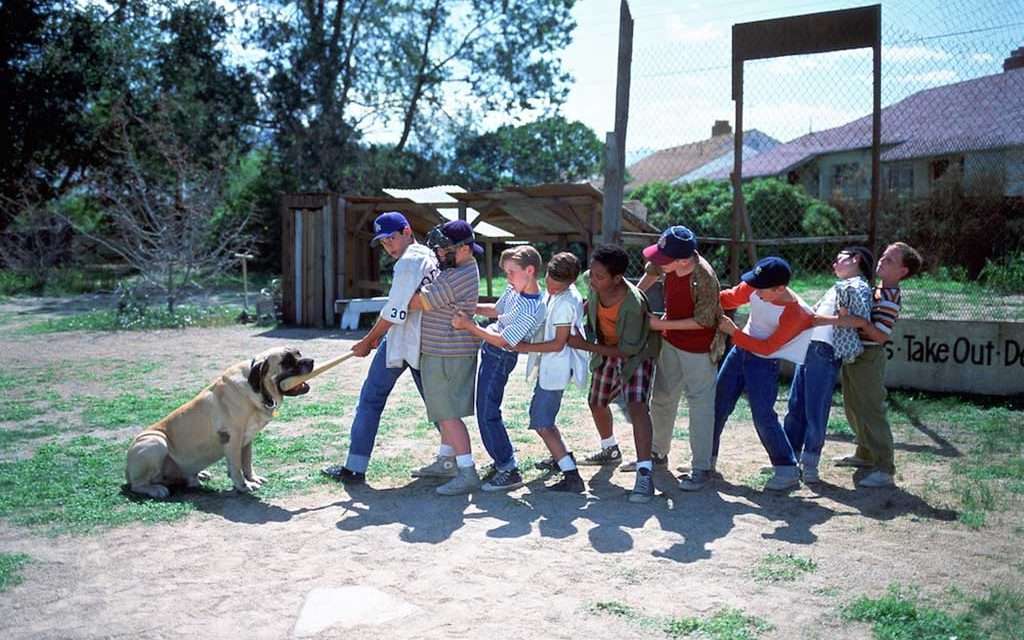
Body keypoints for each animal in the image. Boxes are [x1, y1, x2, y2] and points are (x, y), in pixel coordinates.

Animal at [122, 346, 311, 497]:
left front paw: (253, 478)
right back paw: (156, 489)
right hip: (156, 441)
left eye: (299, 353)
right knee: (138, 484)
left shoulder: (247, 440)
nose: (311, 361)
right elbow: (236, 467)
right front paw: (244, 485)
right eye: (287, 362)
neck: (259, 390)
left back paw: (198, 475)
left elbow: (247, 463)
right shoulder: (233, 439)